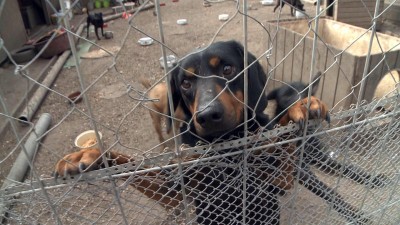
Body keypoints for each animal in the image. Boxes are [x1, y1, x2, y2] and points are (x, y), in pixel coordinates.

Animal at [54, 41, 384, 224]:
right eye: (186, 83)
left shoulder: (282, 179)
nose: (208, 115)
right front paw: (90, 154)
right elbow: (130, 165)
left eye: (227, 69)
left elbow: (282, 139)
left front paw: (299, 109)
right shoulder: (174, 193)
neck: (227, 143)